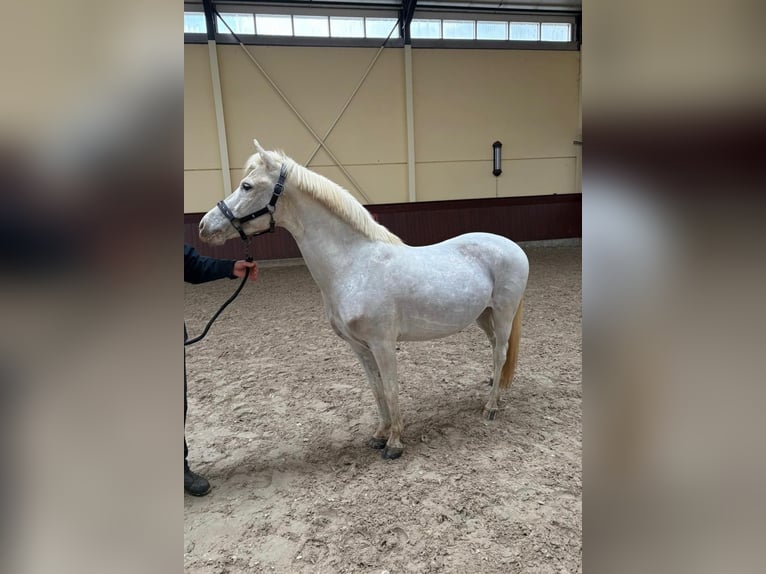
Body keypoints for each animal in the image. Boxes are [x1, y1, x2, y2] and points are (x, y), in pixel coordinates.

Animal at [199, 140, 529, 459]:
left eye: (247, 186)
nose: (204, 226)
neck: (354, 265)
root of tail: (512, 246)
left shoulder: (383, 344)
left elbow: (392, 388)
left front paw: (395, 443)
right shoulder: (359, 347)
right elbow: (377, 389)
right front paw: (380, 435)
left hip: (502, 313)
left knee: (501, 353)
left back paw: (491, 407)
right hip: (483, 315)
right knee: (495, 350)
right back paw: (493, 387)